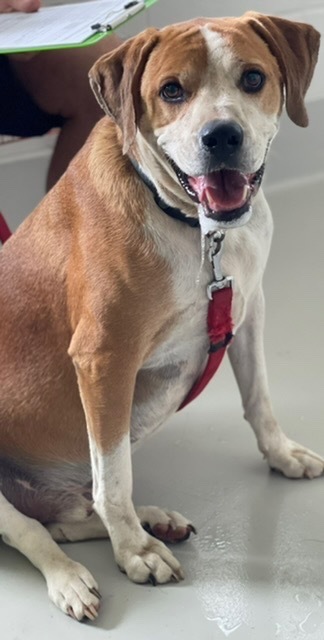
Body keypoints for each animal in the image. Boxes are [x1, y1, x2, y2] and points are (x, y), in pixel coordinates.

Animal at [0, 10, 322, 620]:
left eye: (253, 78)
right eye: (172, 91)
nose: (221, 136)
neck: (198, 228)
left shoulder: (249, 307)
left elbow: (259, 398)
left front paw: (281, 453)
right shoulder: (104, 358)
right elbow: (113, 478)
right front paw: (133, 553)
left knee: (66, 520)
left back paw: (155, 521)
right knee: (33, 532)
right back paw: (73, 577)